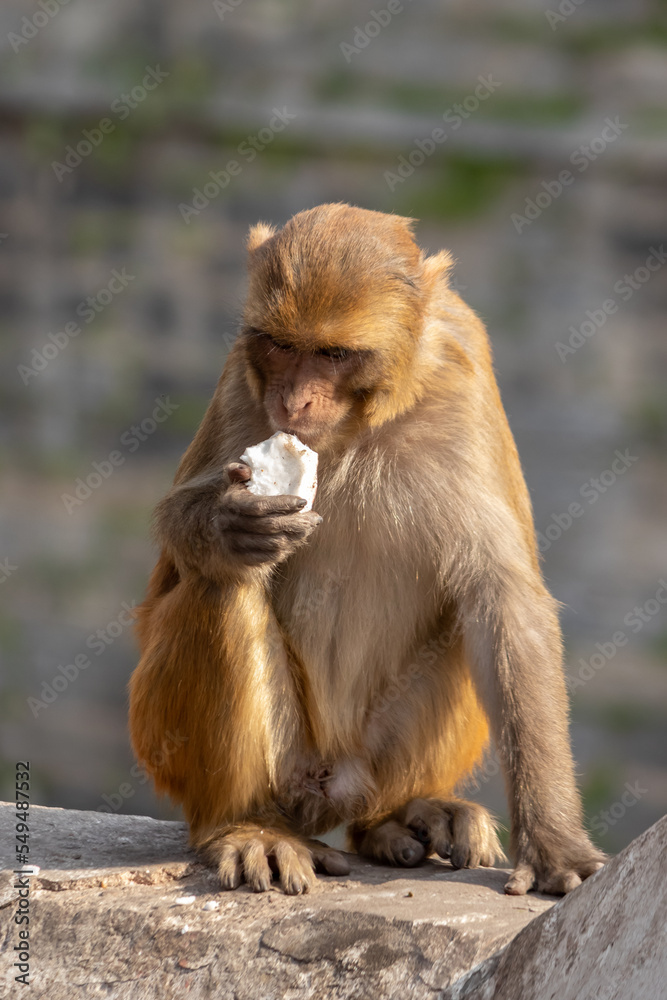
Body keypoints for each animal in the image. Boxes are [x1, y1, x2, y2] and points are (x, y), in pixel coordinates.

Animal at [129, 199, 604, 896]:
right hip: (200, 747)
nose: (293, 400)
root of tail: (327, 793)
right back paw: (246, 825)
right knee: (221, 584)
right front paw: (223, 525)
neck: (358, 427)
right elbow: (176, 561)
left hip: (370, 761)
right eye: (280, 345)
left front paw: (553, 841)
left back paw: (398, 817)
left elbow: (502, 600)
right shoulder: (241, 379)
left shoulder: (464, 367)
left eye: (333, 353)